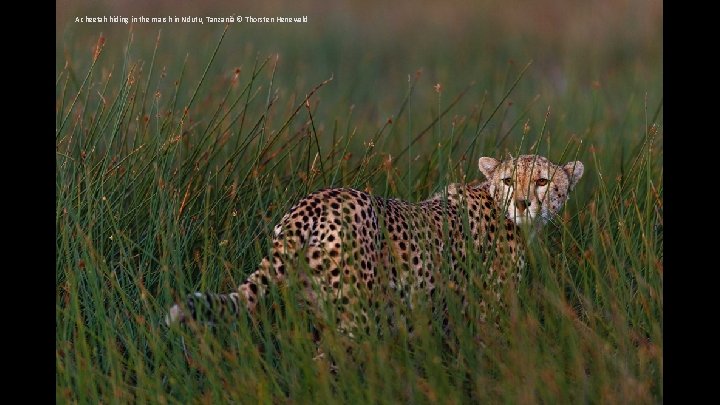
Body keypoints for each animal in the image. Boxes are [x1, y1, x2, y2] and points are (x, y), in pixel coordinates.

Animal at [166, 153, 584, 332]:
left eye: (543, 181)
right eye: (510, 180)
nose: (523, 203)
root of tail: (313, 203)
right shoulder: (486, 309)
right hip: (356, 315)